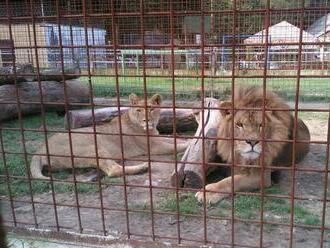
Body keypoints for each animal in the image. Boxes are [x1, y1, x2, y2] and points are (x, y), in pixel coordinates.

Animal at [31, 93, 188, 180]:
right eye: (138, 110)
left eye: (151, 109)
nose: (146, 120)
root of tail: (41, 147)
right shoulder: (155, 147)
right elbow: (178, 145)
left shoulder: (158, 138)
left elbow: (176, 139)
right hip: (94, 147)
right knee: (112, 170)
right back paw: (143, 167)